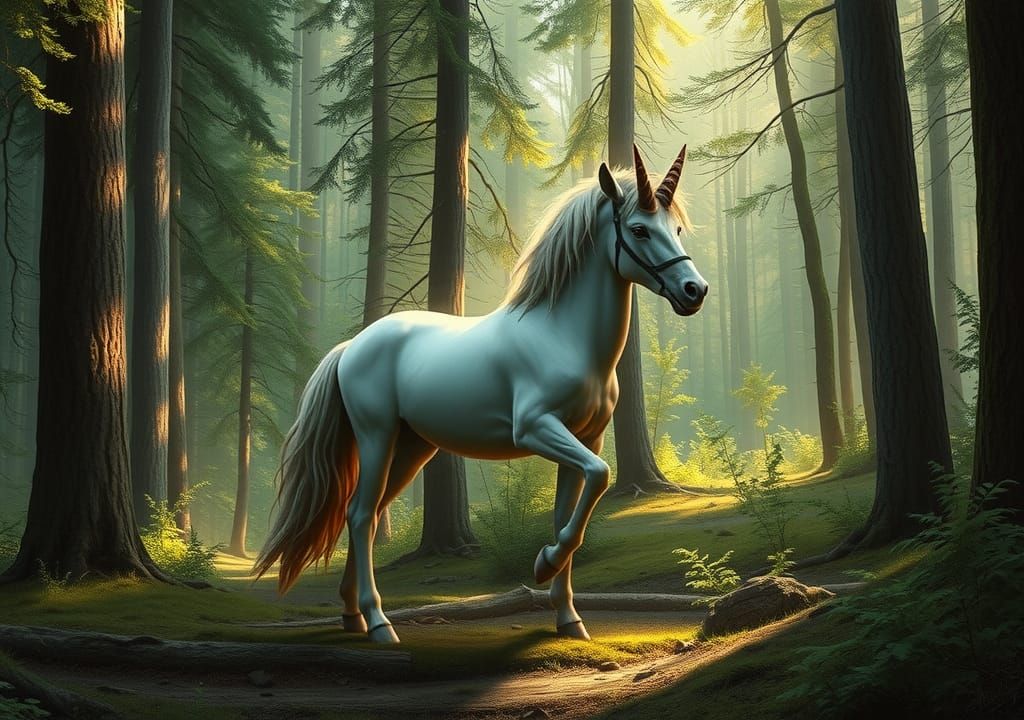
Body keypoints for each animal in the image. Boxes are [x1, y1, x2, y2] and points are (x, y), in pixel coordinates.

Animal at [254, 144, 709, 643]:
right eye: (639, 229)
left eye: (677, 229)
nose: (695, 291)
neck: (562, 336)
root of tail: (352, 346)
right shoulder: (537, 430)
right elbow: (600, 476)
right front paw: (544, 565)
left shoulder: (586, 439)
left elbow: (573, 508)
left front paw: (568, 617)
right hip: (377, 437)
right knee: (359, 514)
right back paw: (378, 623)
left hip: (412, 449)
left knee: (367, 513)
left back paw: (353, 614)